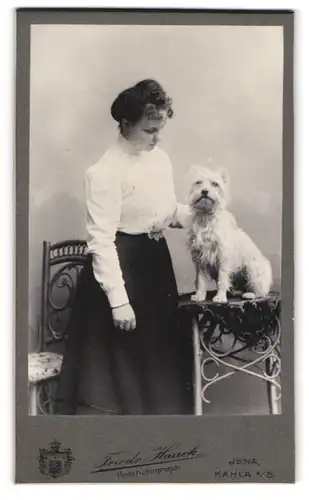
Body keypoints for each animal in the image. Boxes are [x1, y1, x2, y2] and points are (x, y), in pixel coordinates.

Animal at [186, 166, 270, 302]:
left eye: (215, 184)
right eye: (198, 182)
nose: (204, 191)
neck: (207, 217)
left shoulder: (223, 257)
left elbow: (222, 279)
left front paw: (220, 297)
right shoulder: (201, 258)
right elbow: (201, 280)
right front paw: (199, 296)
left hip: (253, 268)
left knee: (261, 291)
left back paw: (250, 294)